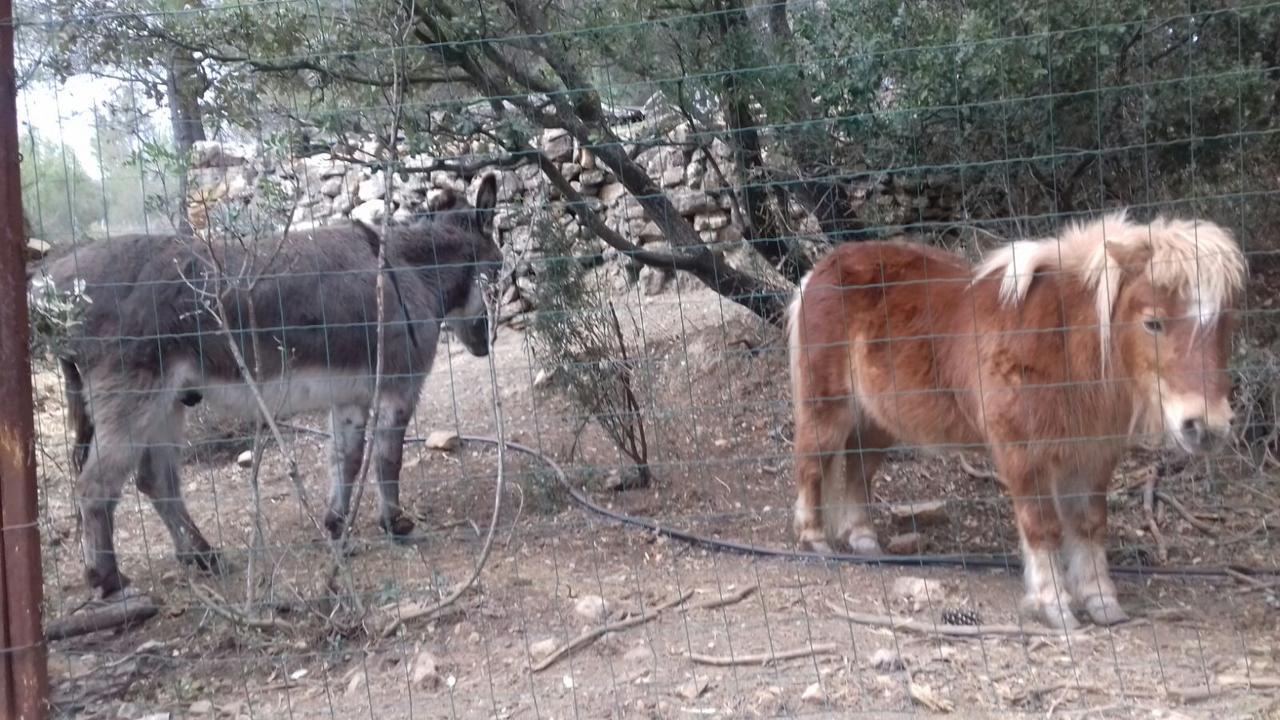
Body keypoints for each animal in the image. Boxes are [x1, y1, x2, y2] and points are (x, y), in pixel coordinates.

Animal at [783, 210, 1244, 625]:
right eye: (1153, 323)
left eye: (1225, 323)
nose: (1206, 426)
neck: (1061, 344)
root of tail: (820, 270)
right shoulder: (1022, 454)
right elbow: (1042, 528)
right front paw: (1054, 604)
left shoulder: (1091, 457)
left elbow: (1089, 526)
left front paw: (1101, 601)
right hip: (827, 408)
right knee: (813, 463)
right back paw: (815, 539)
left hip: (878, 421)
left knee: (859, 468)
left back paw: (864, 539)